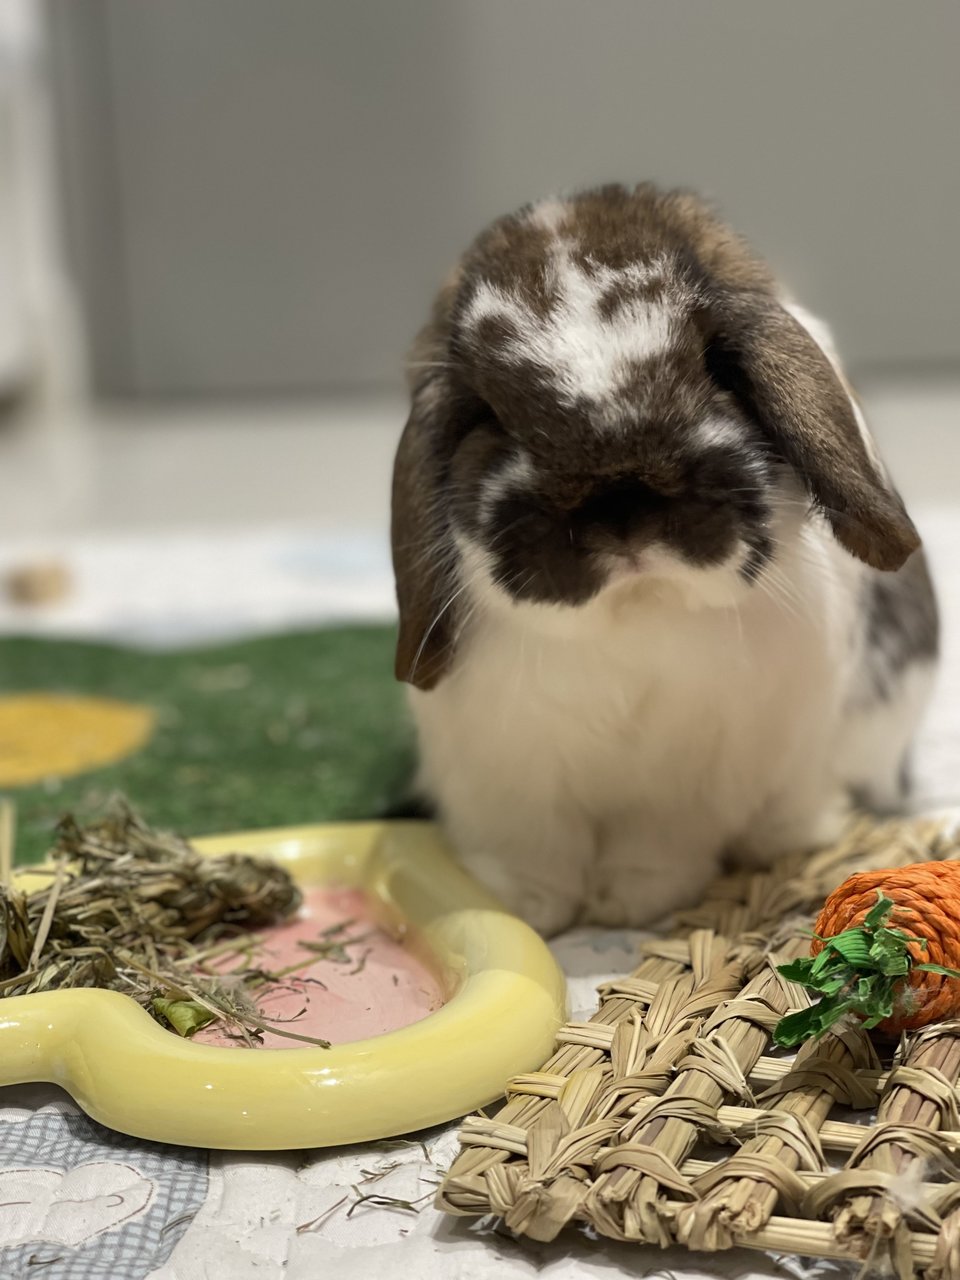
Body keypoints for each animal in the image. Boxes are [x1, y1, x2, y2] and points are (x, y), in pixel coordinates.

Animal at [391, 185, 942, 936]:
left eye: (714, 366)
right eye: (488, 414)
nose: (621, 504)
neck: (637, 609)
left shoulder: (695, 777)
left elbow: (657, 846)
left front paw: (627, 903)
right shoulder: (506, 772)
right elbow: (532, 851)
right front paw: (532, 910)